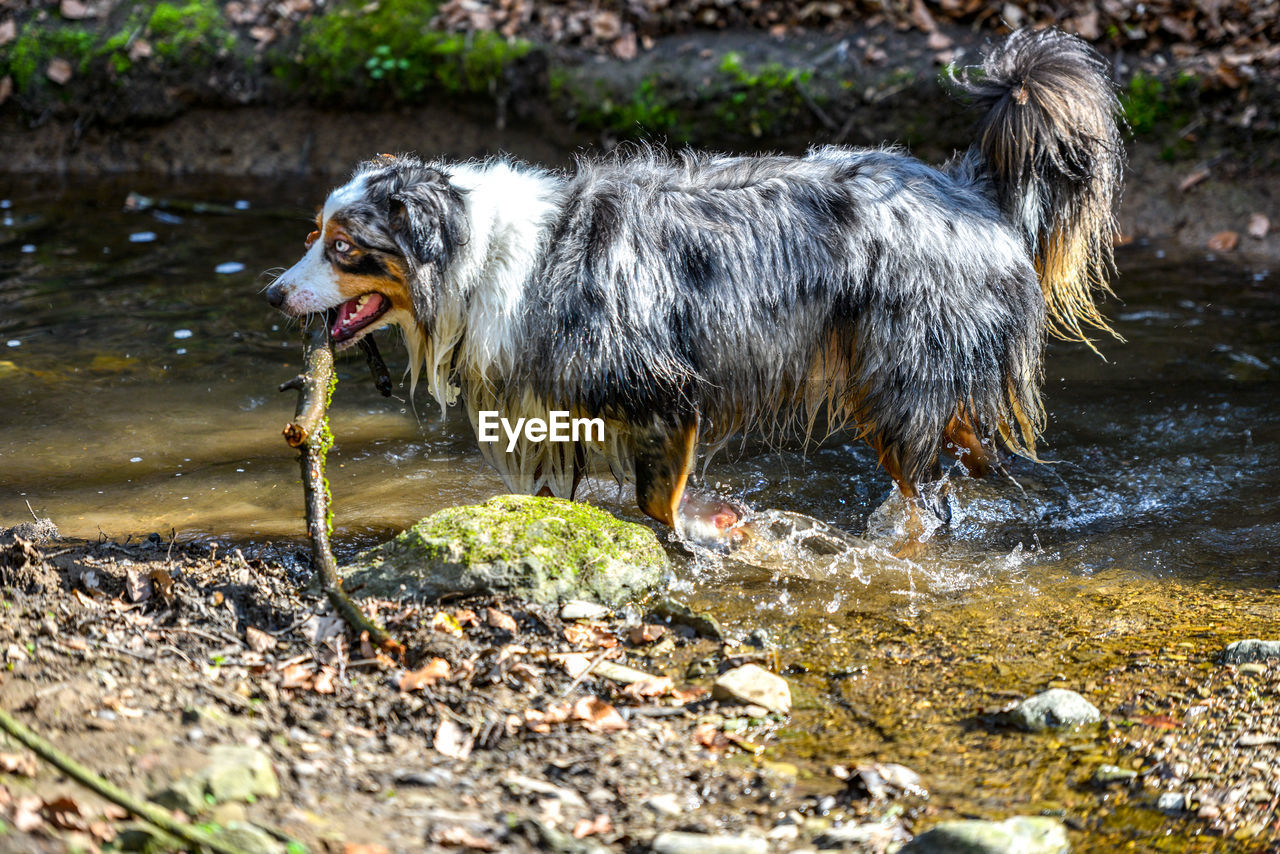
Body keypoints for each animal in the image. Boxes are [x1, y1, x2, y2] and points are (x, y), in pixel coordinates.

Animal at [267, 28, 1121, 547]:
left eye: (344, 248)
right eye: (313, 235)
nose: (273, 295)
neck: (479, 254)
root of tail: (967, 192)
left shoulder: (663, 389)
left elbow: (656, 499)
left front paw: (696, 539)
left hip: (896, 380)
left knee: (927, 486)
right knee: (973, 445)